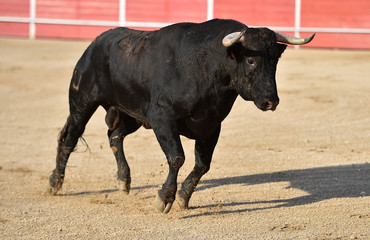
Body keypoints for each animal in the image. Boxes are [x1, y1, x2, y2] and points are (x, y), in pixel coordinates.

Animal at [47, 19, 314, 214]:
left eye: (275, 61)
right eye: (250, 60)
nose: (271, 101)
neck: (206, 66)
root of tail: (97, 42)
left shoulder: (211, 126)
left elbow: (202, 165)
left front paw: (184, 197)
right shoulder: (162, 119)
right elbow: (177, 157)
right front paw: (165, 198)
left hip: (131, 115)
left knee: (114, 135)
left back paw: (123, 181)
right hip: (82, 103)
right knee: (69, 138)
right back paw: (55, 183)